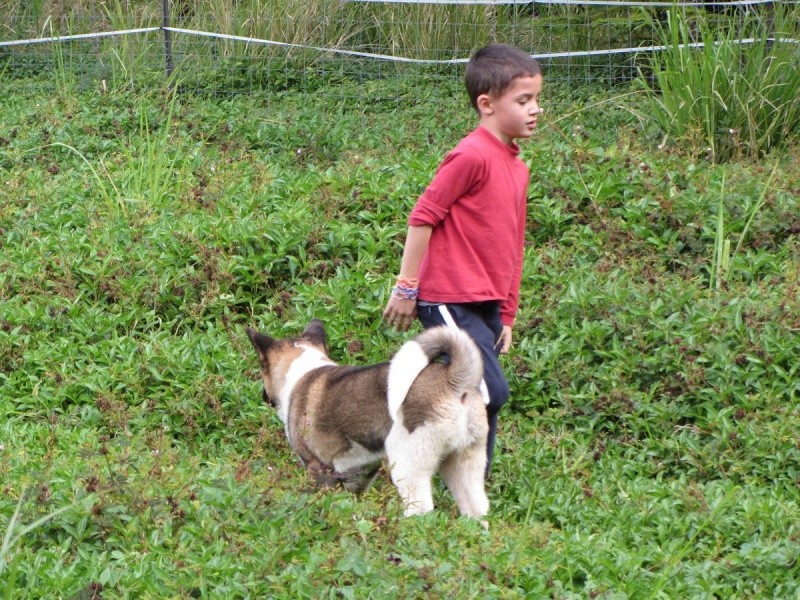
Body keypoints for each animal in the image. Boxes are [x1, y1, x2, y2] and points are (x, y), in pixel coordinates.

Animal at [247, 318, 490, 520]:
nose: (262, 395)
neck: (302, 373)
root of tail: (454, 380)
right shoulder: (361, 470)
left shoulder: (317, 467)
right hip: (464, 465)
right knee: (477, 510)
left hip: (408, 467)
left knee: (420, 510)